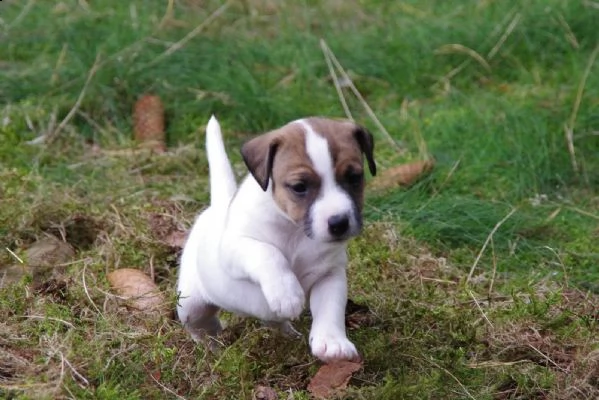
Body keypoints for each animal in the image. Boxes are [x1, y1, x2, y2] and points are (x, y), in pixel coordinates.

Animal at [176, 115, 378, 362]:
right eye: (299, 187)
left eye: (354, 177)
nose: (339, 222)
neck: (296, 231)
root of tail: (219, 205)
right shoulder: (234, 248)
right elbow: (269, 252)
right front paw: (286, 293)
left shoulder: (329, 275)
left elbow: (330, 308)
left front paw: (332, 342)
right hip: (190, 306)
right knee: (201, 327)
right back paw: (213, 349)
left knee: (272, 321)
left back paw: (287, 334)